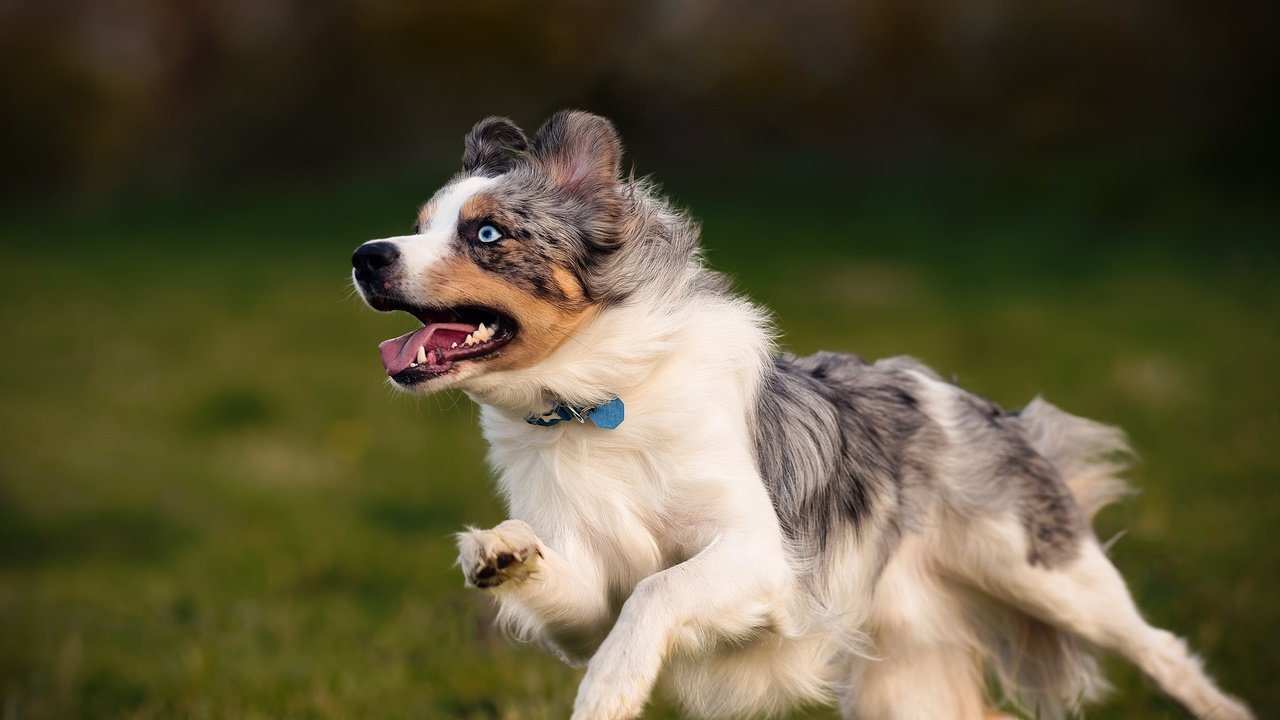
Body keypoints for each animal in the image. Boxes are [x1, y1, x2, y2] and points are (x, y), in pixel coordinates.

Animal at [350, 109, 1249, 712]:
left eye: (487, 234)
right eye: (418, 225)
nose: (365, 255)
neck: (593, 403)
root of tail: (979, 403)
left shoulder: (764, 558)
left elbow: (658, 594)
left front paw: (613, 689)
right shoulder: (588, 599)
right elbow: (585, 592)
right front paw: (499, 552)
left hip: (1049, 575)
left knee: (1162, 649)